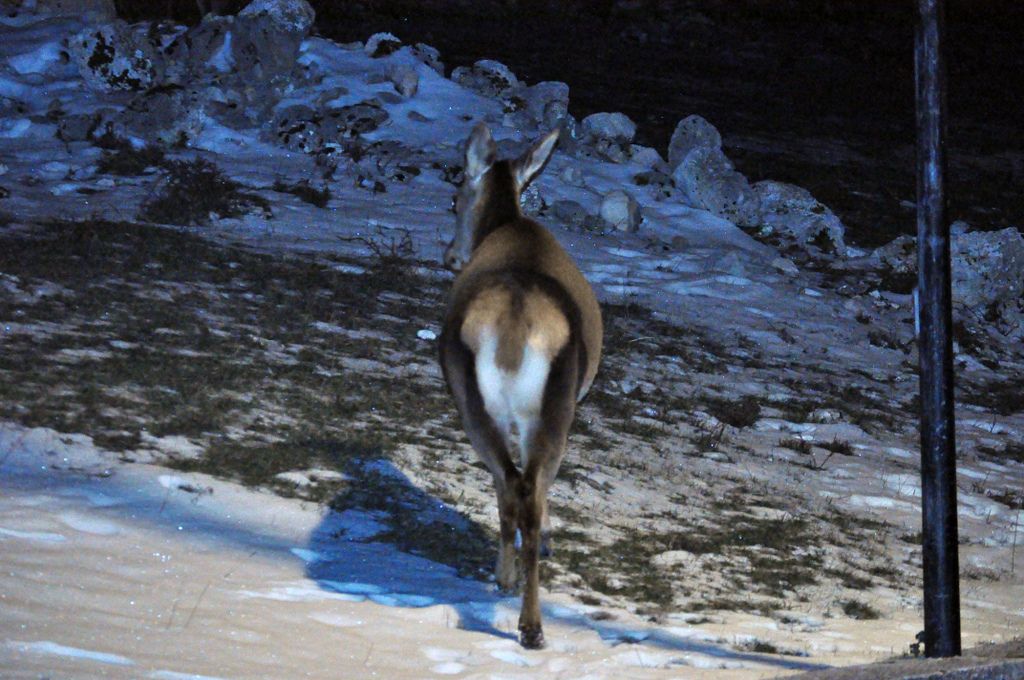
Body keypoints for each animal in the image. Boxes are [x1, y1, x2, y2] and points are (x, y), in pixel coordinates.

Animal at [439, 123, 602, 649]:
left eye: (454, 197)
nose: (450, 256)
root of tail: (512, 325)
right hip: (548, 407)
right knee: (522, 488)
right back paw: (526, 612)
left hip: (477, 400)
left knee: (513, 485)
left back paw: (519, 603)